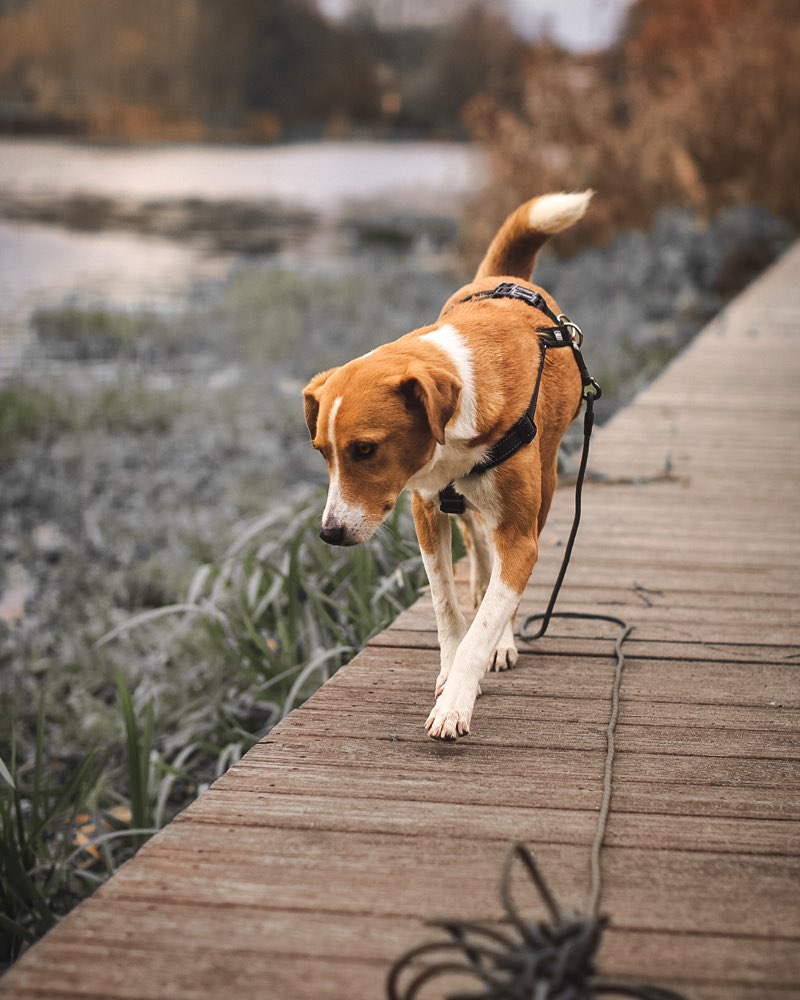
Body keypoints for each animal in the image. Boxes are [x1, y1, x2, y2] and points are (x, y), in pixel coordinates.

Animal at [304, 191, 592, 744]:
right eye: (322, 452)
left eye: (365, 450)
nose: (329, 534)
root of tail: (505, 277)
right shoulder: (424, 508)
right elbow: (444, 602)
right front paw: (449, 666)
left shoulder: (520, 536)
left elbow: (485, 624)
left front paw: (458, 697)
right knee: (477, 542)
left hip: (544, 488)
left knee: (499, 568)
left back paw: (502, 637)